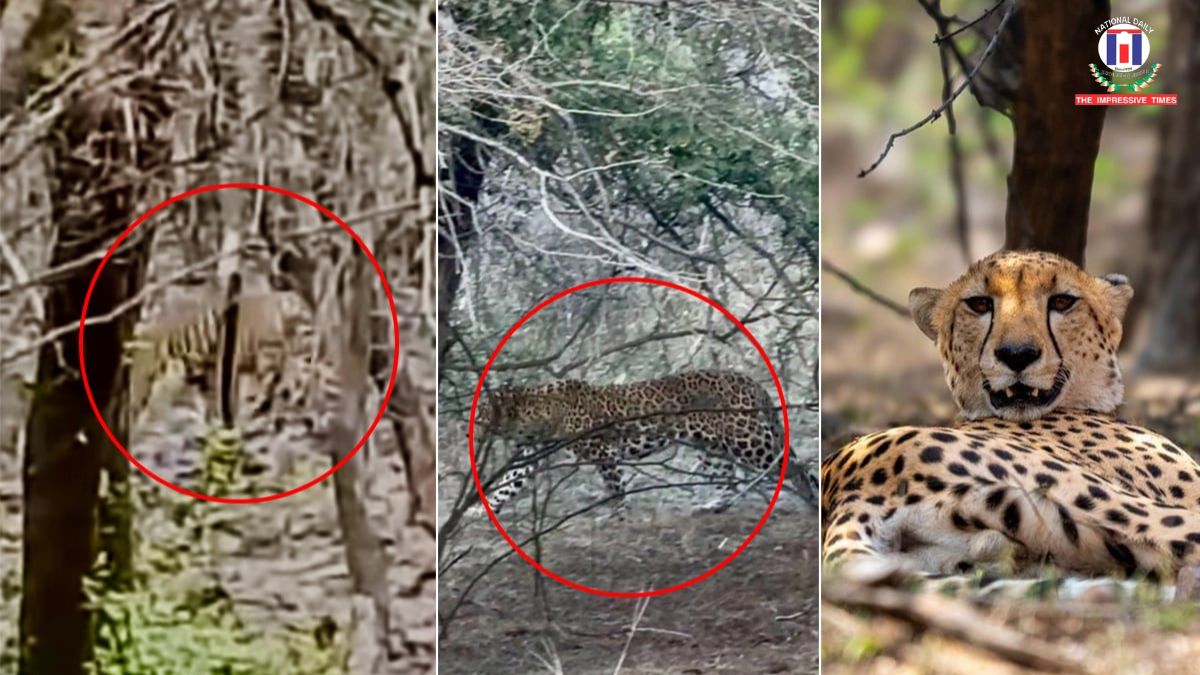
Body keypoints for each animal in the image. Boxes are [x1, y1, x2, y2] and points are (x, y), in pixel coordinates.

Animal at [475, 369, 818, 516]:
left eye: (480, 415)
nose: (470, 433)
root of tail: (750, 381)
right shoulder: (532, 453)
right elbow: (508, 482)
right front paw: (483, 508)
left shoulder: (602, 450)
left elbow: (615, 485)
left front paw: (617, 513)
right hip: (712, 446)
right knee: (728, 479)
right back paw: (713, 506)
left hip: (747, 438)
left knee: (792, 465)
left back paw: (811, 500)